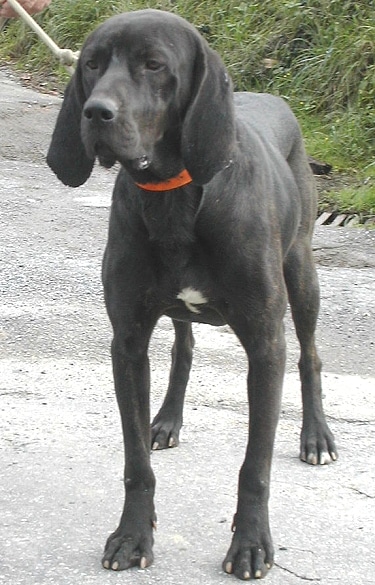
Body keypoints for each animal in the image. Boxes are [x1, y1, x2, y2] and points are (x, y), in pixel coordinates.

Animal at [47, 9, 338, 580]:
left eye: (154, 64)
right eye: (92, 63)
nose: (96, 113)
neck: (174, 196)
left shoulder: (266, 346)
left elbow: (255, 466)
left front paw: (251, 544)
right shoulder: (128, 343)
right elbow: (135, 461)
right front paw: (132, 535)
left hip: (302, 274)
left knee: (311, 356)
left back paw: (315, 437)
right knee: (184, 349)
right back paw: (166, 419)